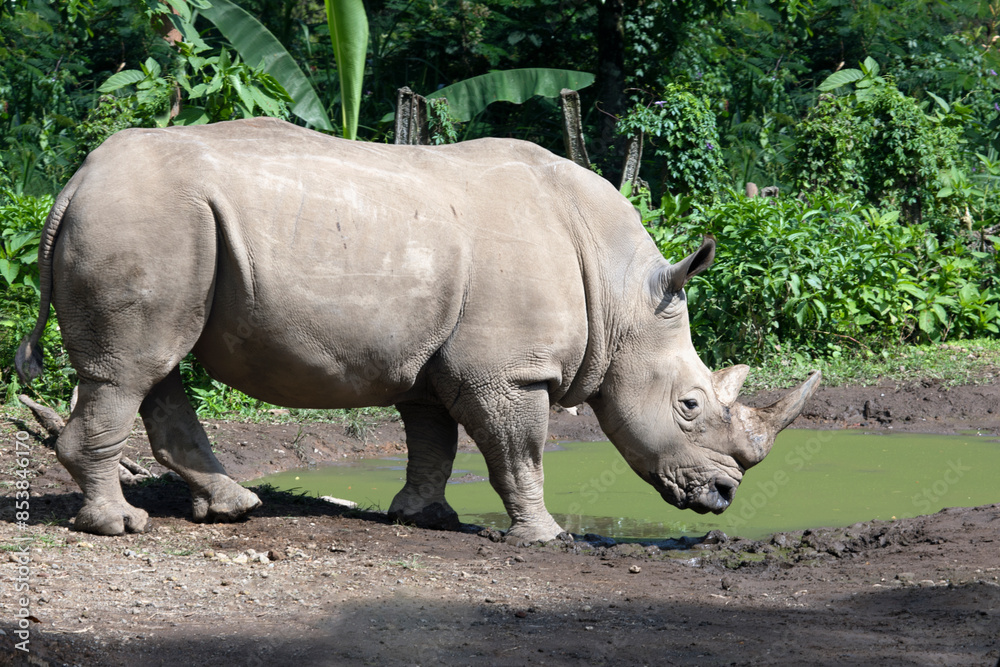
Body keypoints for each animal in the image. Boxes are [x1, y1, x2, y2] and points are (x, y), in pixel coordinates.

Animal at [17, 118, 819, 541]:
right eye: (689, 405)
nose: (724, 497)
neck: (623, 295)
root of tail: (73, 183)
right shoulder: (509, 368)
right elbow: (518, 452)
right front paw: (544, 536)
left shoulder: (435, 357)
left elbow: (432, 437)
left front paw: (421, 515)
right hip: (148, 218)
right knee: (130, 369)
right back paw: (122, 525)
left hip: (163, 224)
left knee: (156, 365)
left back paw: (234, 508)